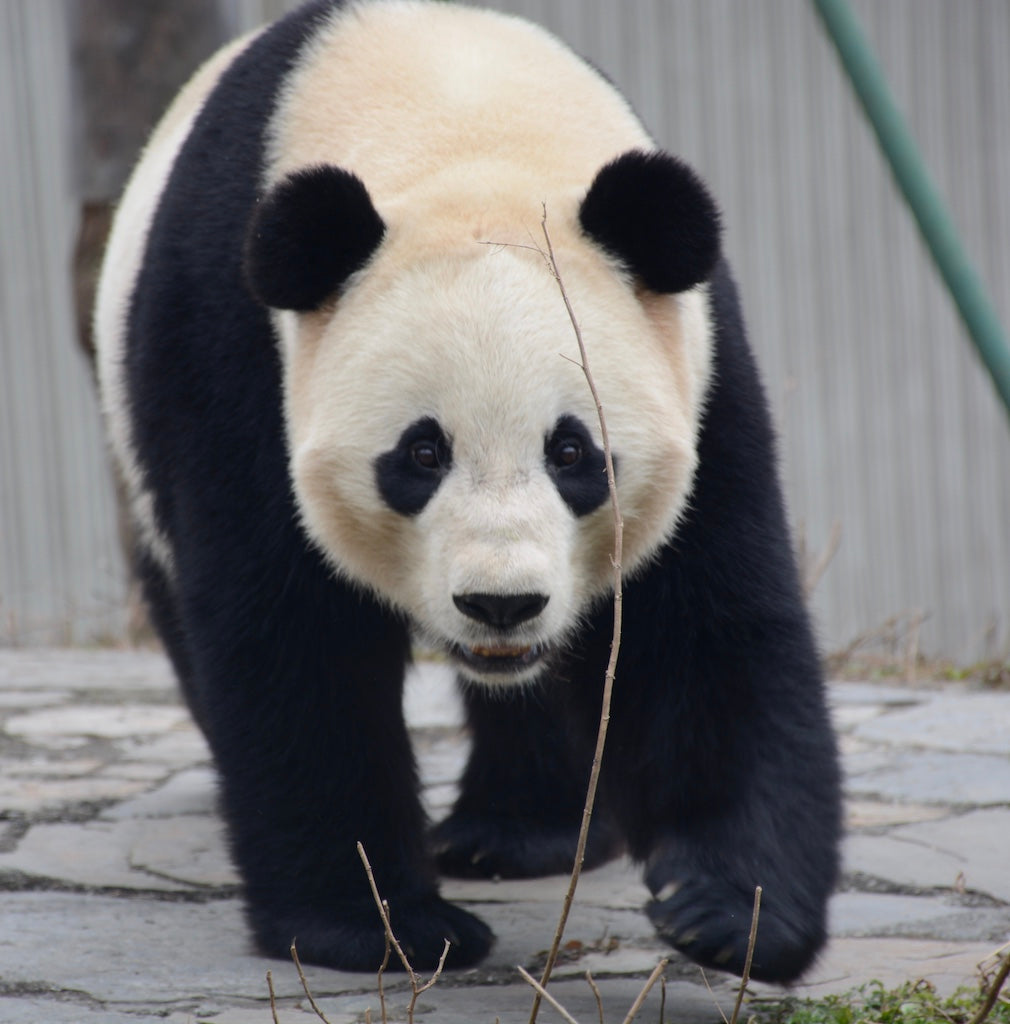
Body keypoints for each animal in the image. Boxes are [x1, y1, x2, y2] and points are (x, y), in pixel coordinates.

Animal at [94, 0, 839, 978]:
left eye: (574, 453)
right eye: (420, 455)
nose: (501, 605)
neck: (458, 119)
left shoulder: (697, 361)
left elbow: (701, 615)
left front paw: (725, 910)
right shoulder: (236, 349)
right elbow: (292, 634)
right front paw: (379, 926)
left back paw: (520, 834)